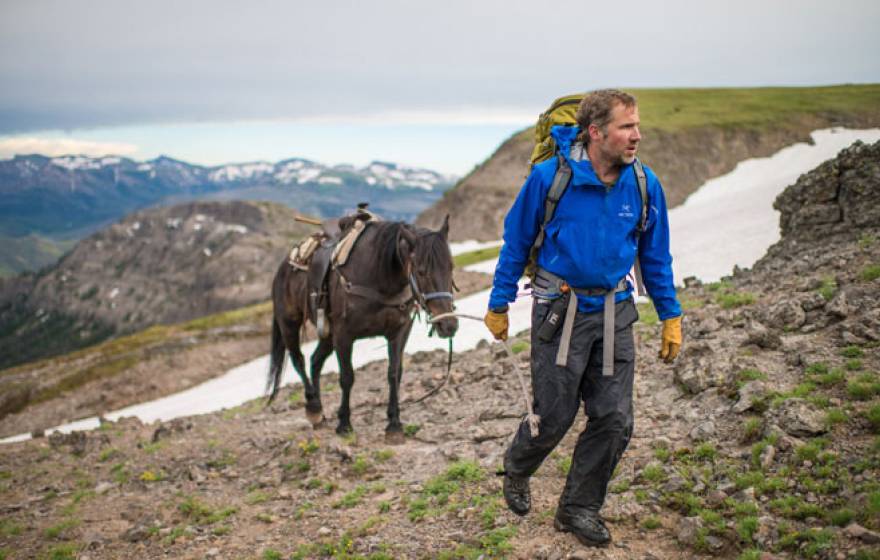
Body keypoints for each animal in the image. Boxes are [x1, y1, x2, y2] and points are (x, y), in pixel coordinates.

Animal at [266, 217, 460, 440]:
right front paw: (344, 424)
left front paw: (394, 424)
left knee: (315, 361)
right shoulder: (344, 336)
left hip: (328, 335)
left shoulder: (399, 332)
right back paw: (314, 408)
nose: (448, 325)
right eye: (421, 271)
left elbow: (394, 373)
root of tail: (283, 268)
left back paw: (321, 415)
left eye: (451, 266)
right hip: (289, 324)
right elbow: (347, 377)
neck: (378, 277)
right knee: (299, 360)